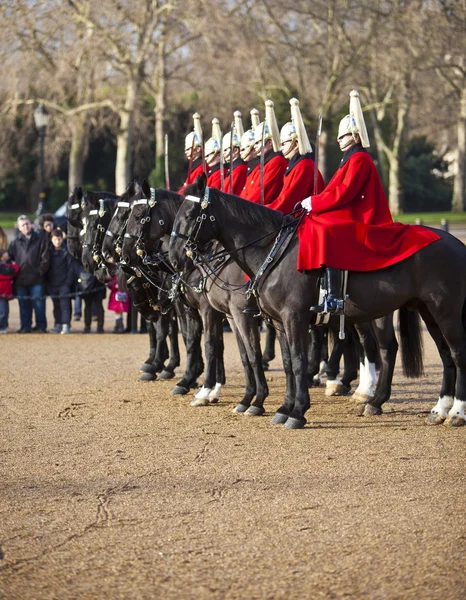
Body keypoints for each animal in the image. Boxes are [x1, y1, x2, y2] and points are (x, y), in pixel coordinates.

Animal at [168, 176, 466, 428]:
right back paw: (432, 407)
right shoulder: (276, 322)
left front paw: (296, 412)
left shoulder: (289, 317)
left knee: (453, 353)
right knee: (437, 354)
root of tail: (456, 242)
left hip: (445, 312)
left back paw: (455, 412)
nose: (174, 258)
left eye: (189, 215)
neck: (273, 250)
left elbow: (297, 361)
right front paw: (283, 408)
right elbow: (287, 363)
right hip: (426, 311)